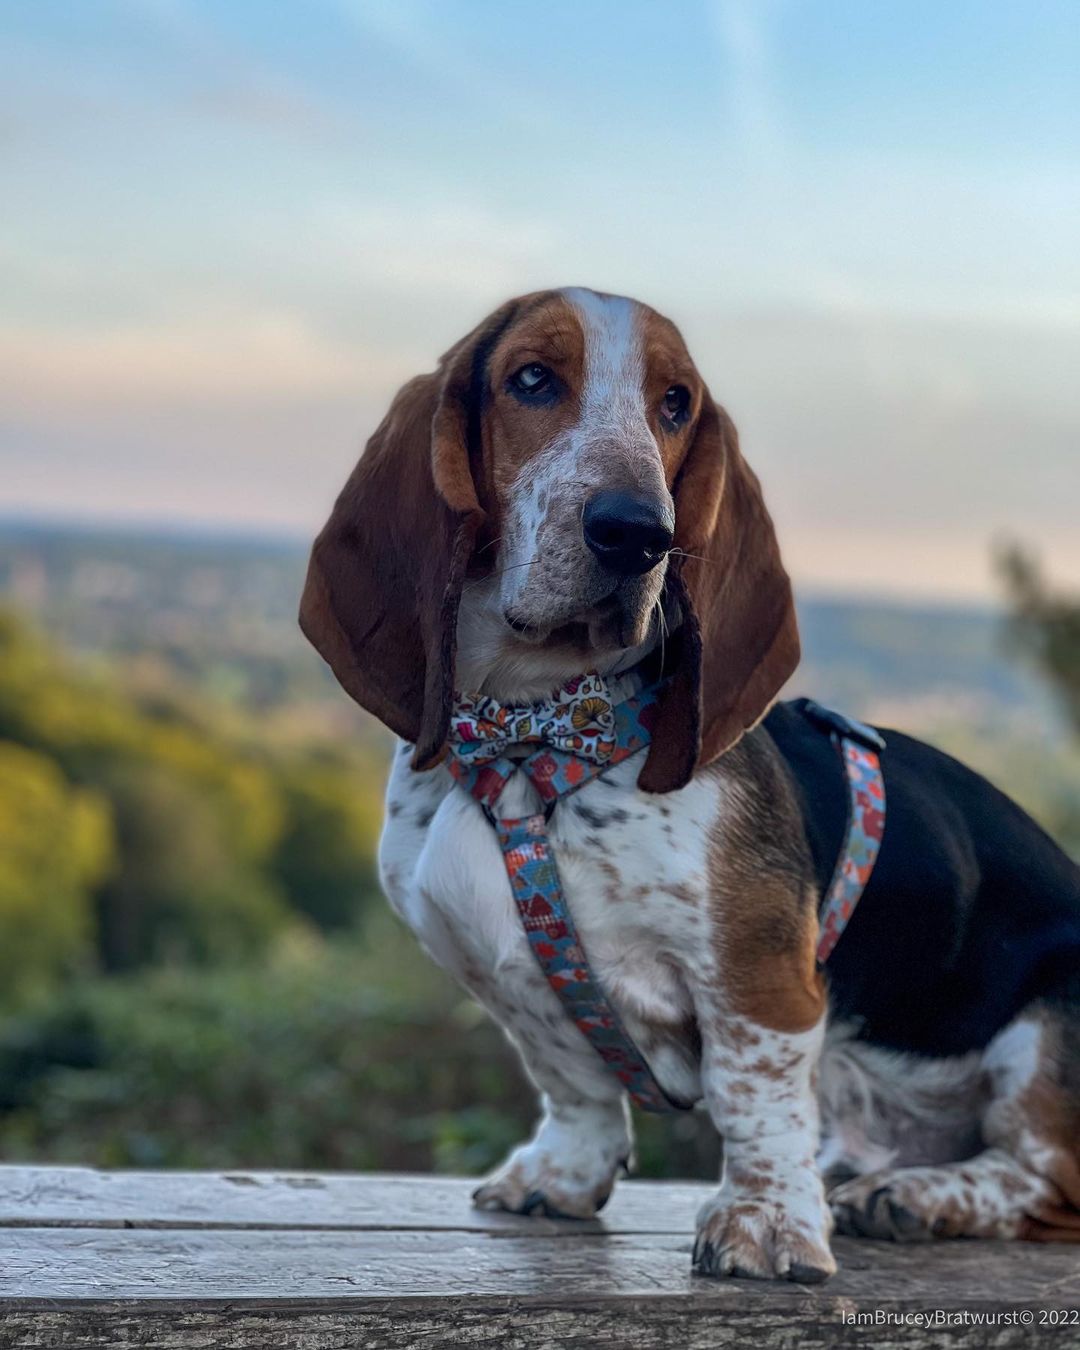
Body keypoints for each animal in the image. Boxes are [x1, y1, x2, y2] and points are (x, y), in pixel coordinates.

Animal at [300, 287, 1080, 1281]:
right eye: (531, 379)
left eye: (675, 404)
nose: (638, 533)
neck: (531, 738)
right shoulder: (511, 979)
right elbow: (572, 1078)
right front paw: (563, 1176)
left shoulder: (757, 981)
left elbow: (755, 1099)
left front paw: (767, 1222)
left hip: (1047, 1035)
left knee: (1047, 1181)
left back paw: (919, 1197)